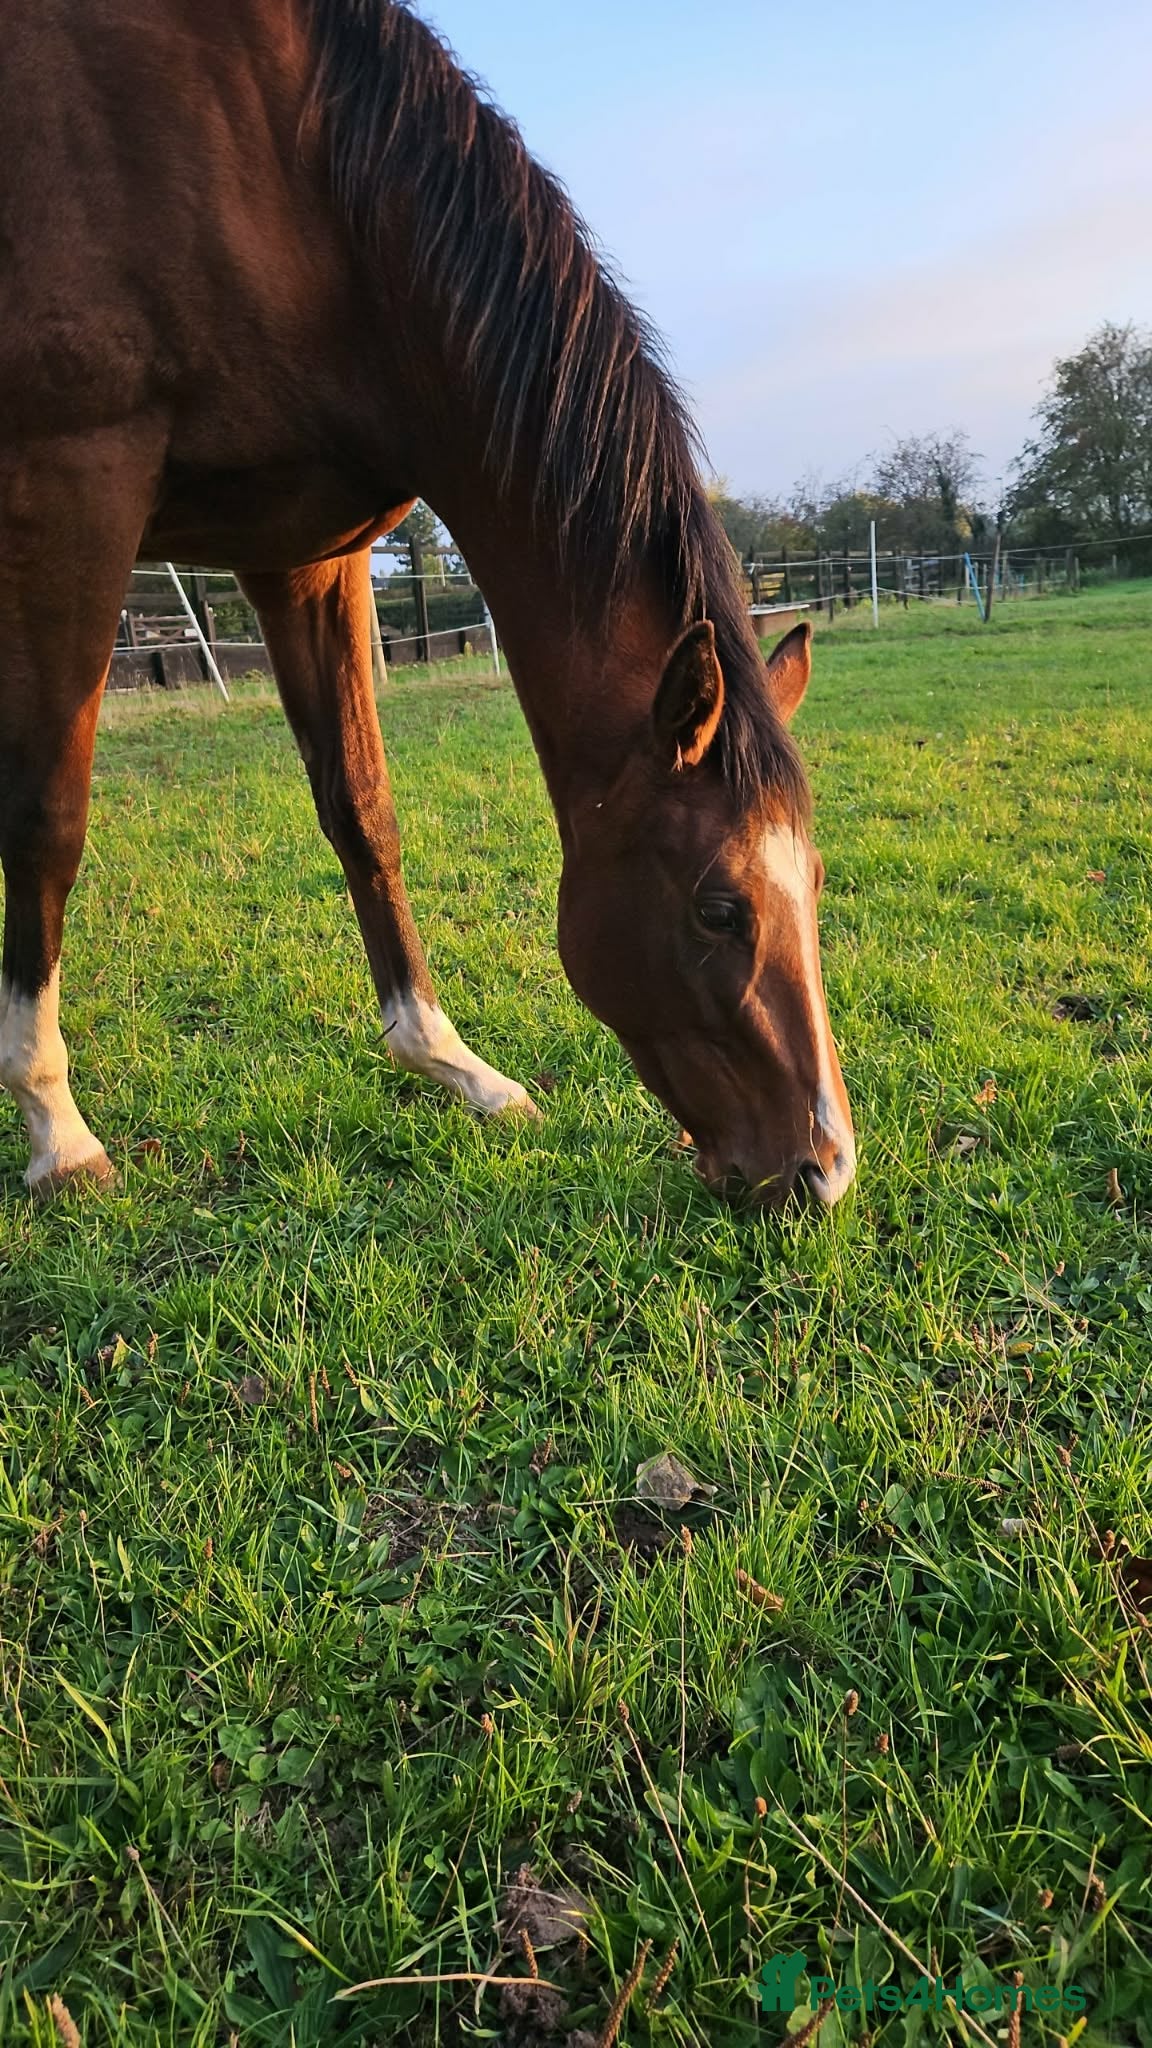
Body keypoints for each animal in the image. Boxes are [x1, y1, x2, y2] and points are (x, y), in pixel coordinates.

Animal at [0, 0, 855, 1207]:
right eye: (718, 907)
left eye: (815, 884)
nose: (825, 1170)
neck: (300, 184)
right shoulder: (74, 483)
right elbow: (48, 820)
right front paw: (55, 1126)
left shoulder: (307, 552)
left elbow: (362, 806)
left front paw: (452, 1062)